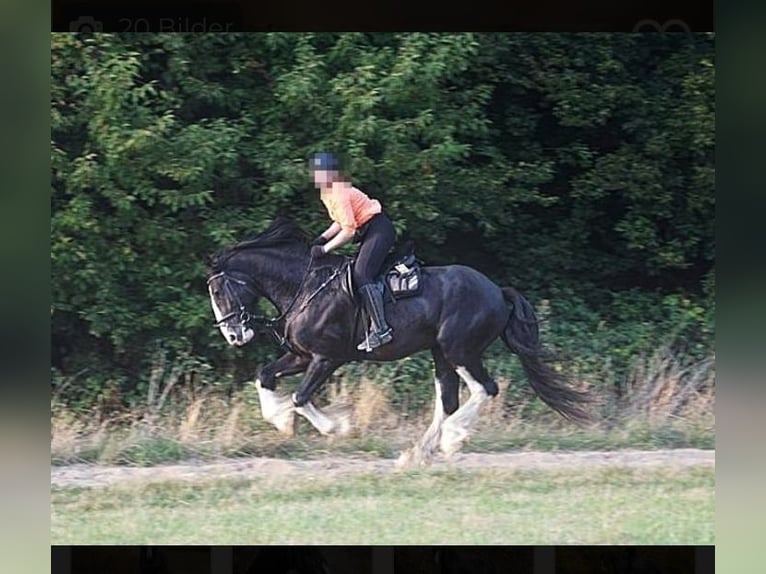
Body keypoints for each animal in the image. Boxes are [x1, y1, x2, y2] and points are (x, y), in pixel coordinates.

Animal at [206, 218, 592, 466]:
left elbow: (301, 397)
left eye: (218, 290)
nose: (234, 335)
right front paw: (282, 420)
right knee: (447, 400)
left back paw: (452, 438)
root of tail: (497, 290)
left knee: (485, 389)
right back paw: (418, 453)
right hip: (441, 354)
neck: (305, 284)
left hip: (460, 350)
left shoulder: (326, 358)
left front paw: (337, 426)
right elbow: (265, 376)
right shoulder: (301, 356)